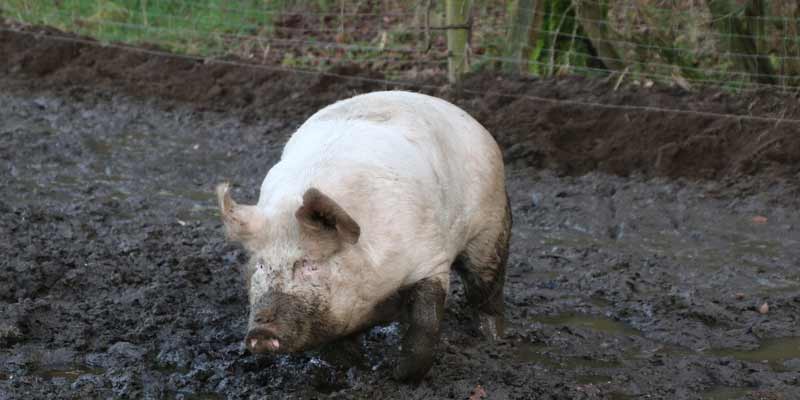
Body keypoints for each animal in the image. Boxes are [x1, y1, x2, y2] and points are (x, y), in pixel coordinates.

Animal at [216, 90, 510, 382]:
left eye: (309, 264)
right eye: (261, 265)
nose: (260, 332)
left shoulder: (430, 259)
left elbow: (426, 322)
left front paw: (398, 376)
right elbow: (336, 347)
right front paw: (358, 370)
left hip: (492, 223)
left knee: (485, 286)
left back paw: (493, 340)